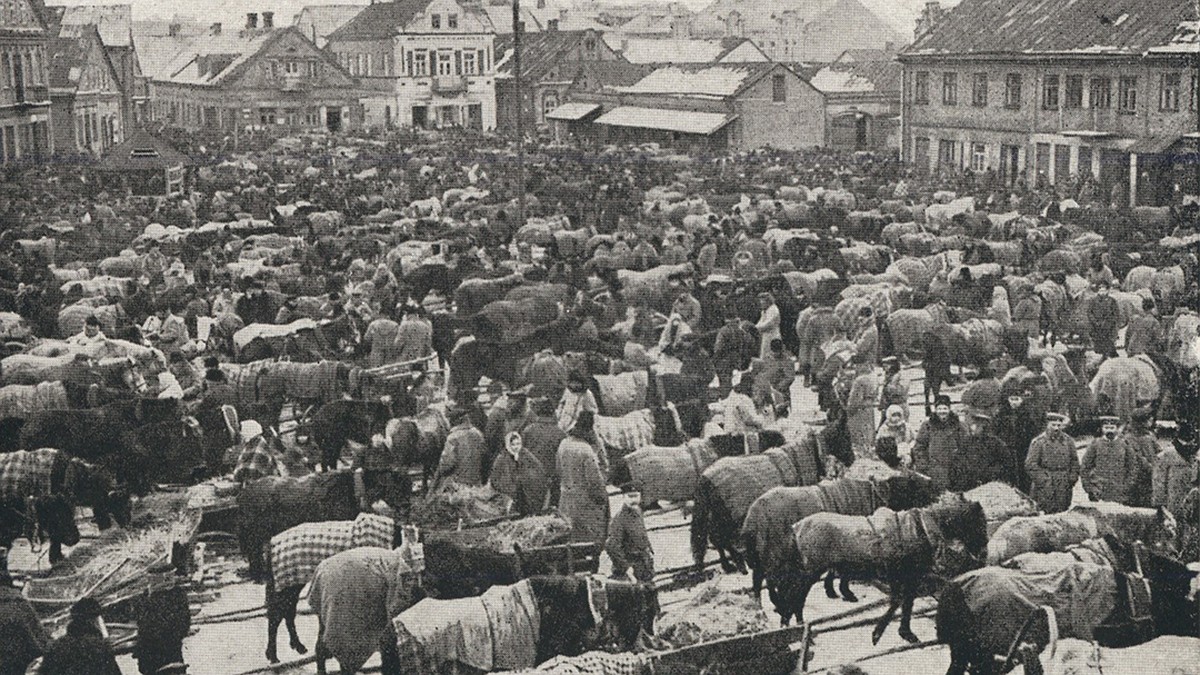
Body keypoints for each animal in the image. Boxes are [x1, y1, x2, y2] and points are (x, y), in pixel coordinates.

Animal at [265, 511, 400, 658]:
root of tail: (270, 545)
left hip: (290, 587)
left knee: (287, 614)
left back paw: (298, 647)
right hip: (285, 588)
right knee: (276, 616)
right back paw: (273, 656)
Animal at [739, 470, 945, 619]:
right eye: (916, 485)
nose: (939, 493)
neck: (871, 494)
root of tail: (753, 515)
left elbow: (836, 570)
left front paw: (832, 590)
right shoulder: (846, 546)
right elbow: (842, 572)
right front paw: (845, 592)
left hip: (764, 553)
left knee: (759, 578)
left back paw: (763, 606)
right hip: (772, 552)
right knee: (768, 578)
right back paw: (773, 606)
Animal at [777, 494, 993, 638]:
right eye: (979, 523)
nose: (984, 553)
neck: (920, 529)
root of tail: (797, 526)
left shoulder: (910, 576)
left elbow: (906, 602)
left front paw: (905, 632)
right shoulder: (899, 575)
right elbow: (898, 601)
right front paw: (879, 633)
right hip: (812, 570)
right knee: (797, 592)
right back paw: (794, 621)